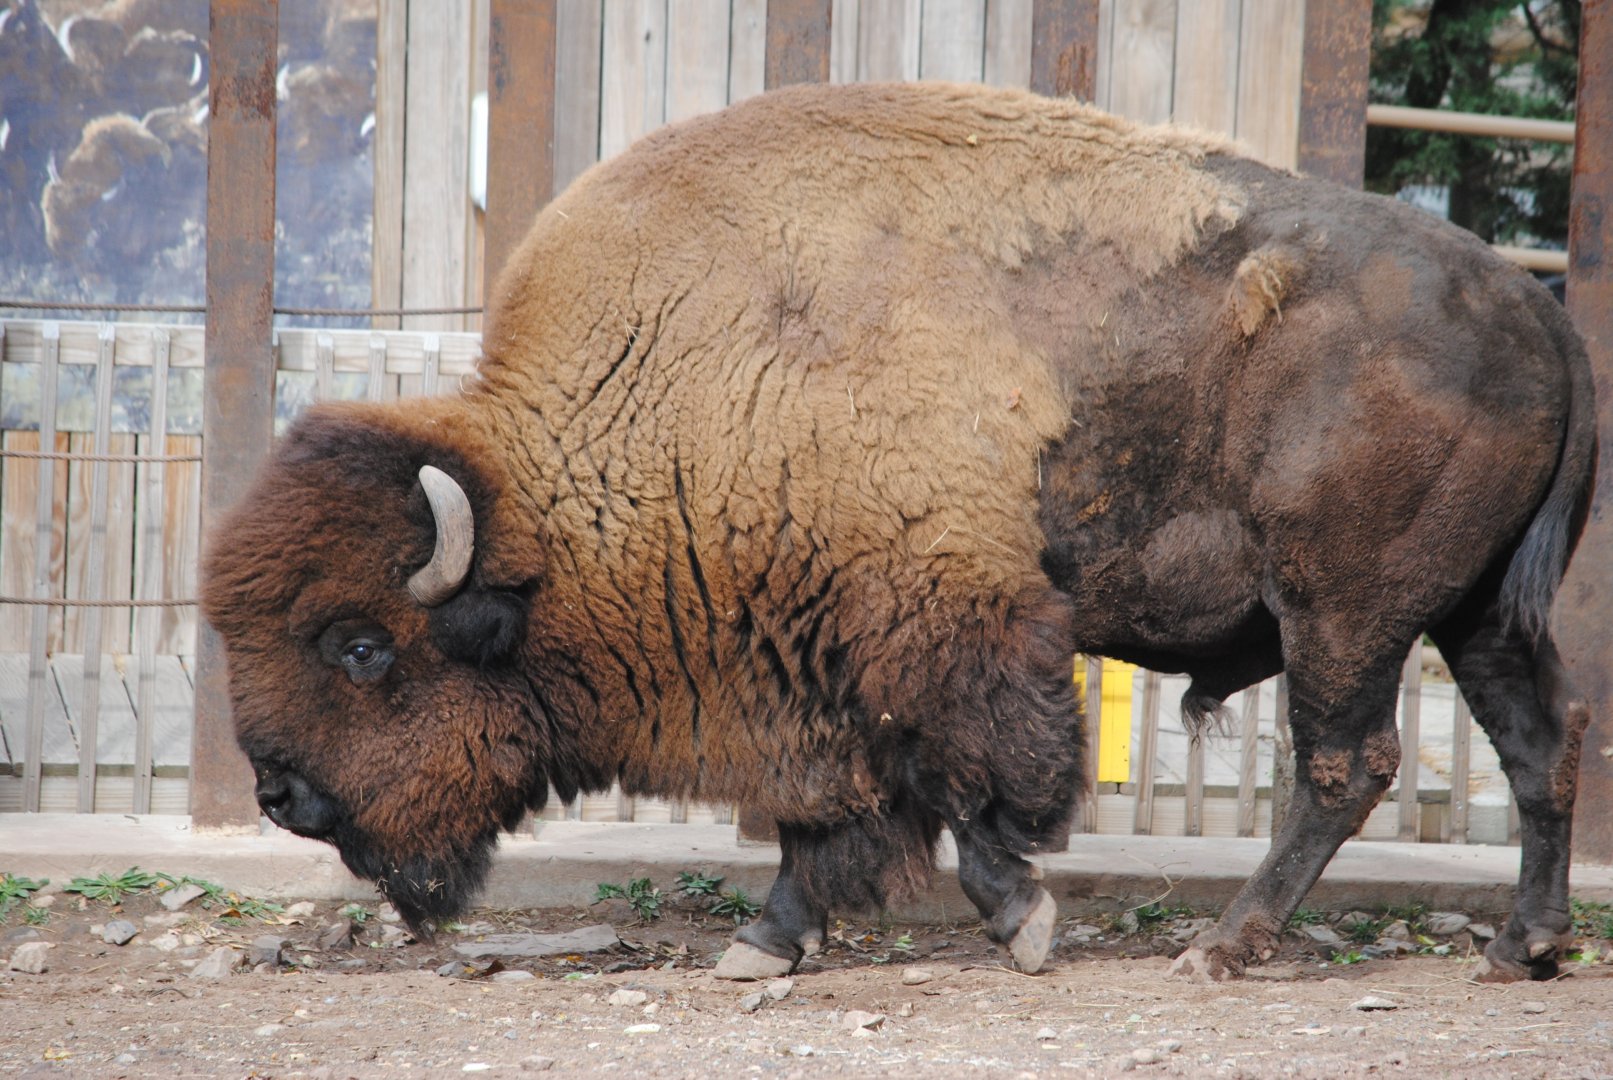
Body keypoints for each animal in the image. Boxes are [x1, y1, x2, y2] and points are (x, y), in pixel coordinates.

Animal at [203, 82, 1593, 983]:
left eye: (360, 647)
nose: (281, 794)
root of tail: (1530, 305)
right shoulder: (815, 663)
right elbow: (841, 810)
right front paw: (762, 946)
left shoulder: (941, 633)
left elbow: (967, 793)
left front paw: (1020, 923)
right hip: (1472, 615)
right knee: (1541, 744)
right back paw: (1522, 947)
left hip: (1343, 612)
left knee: (1344, 763)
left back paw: (1222, 947)